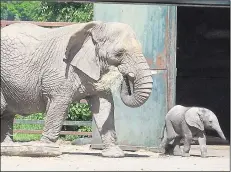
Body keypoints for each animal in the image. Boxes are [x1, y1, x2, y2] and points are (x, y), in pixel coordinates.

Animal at [1, 21, 153, 157]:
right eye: (119, 53)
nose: (127, 77)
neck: (95, 28)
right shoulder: (60, 72)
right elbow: (59, 105)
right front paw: (46, 149)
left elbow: (105, 105)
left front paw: (114, 154)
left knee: (7, 114)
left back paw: (8, 147)